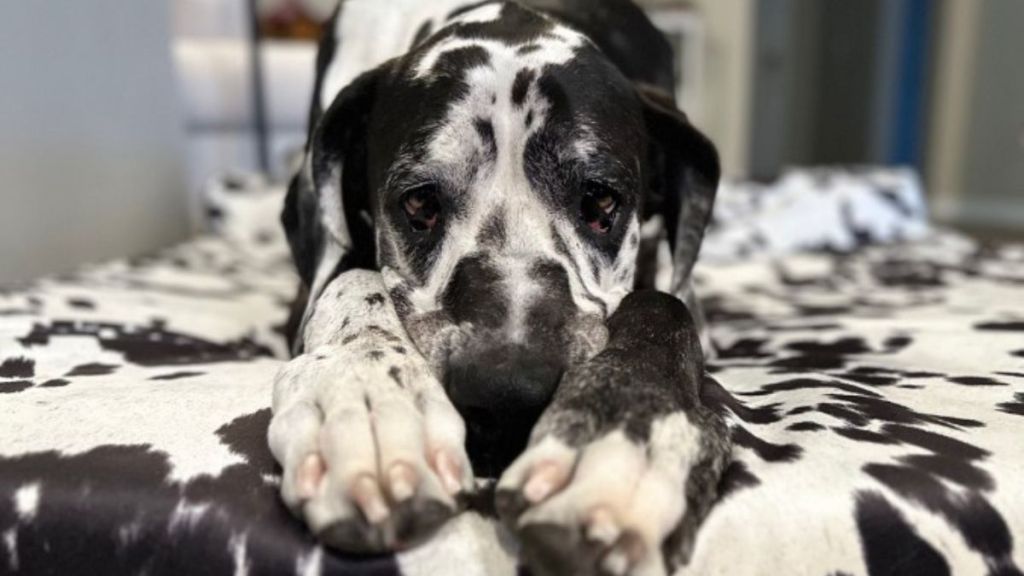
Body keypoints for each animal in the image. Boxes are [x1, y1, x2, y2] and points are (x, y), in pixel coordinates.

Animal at [264, 2, 729, 569]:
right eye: (419, 202)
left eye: (600, 201)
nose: (507, 398)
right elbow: (352, 281)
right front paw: (368, 397)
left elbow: (665, 309)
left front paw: (628, 428)